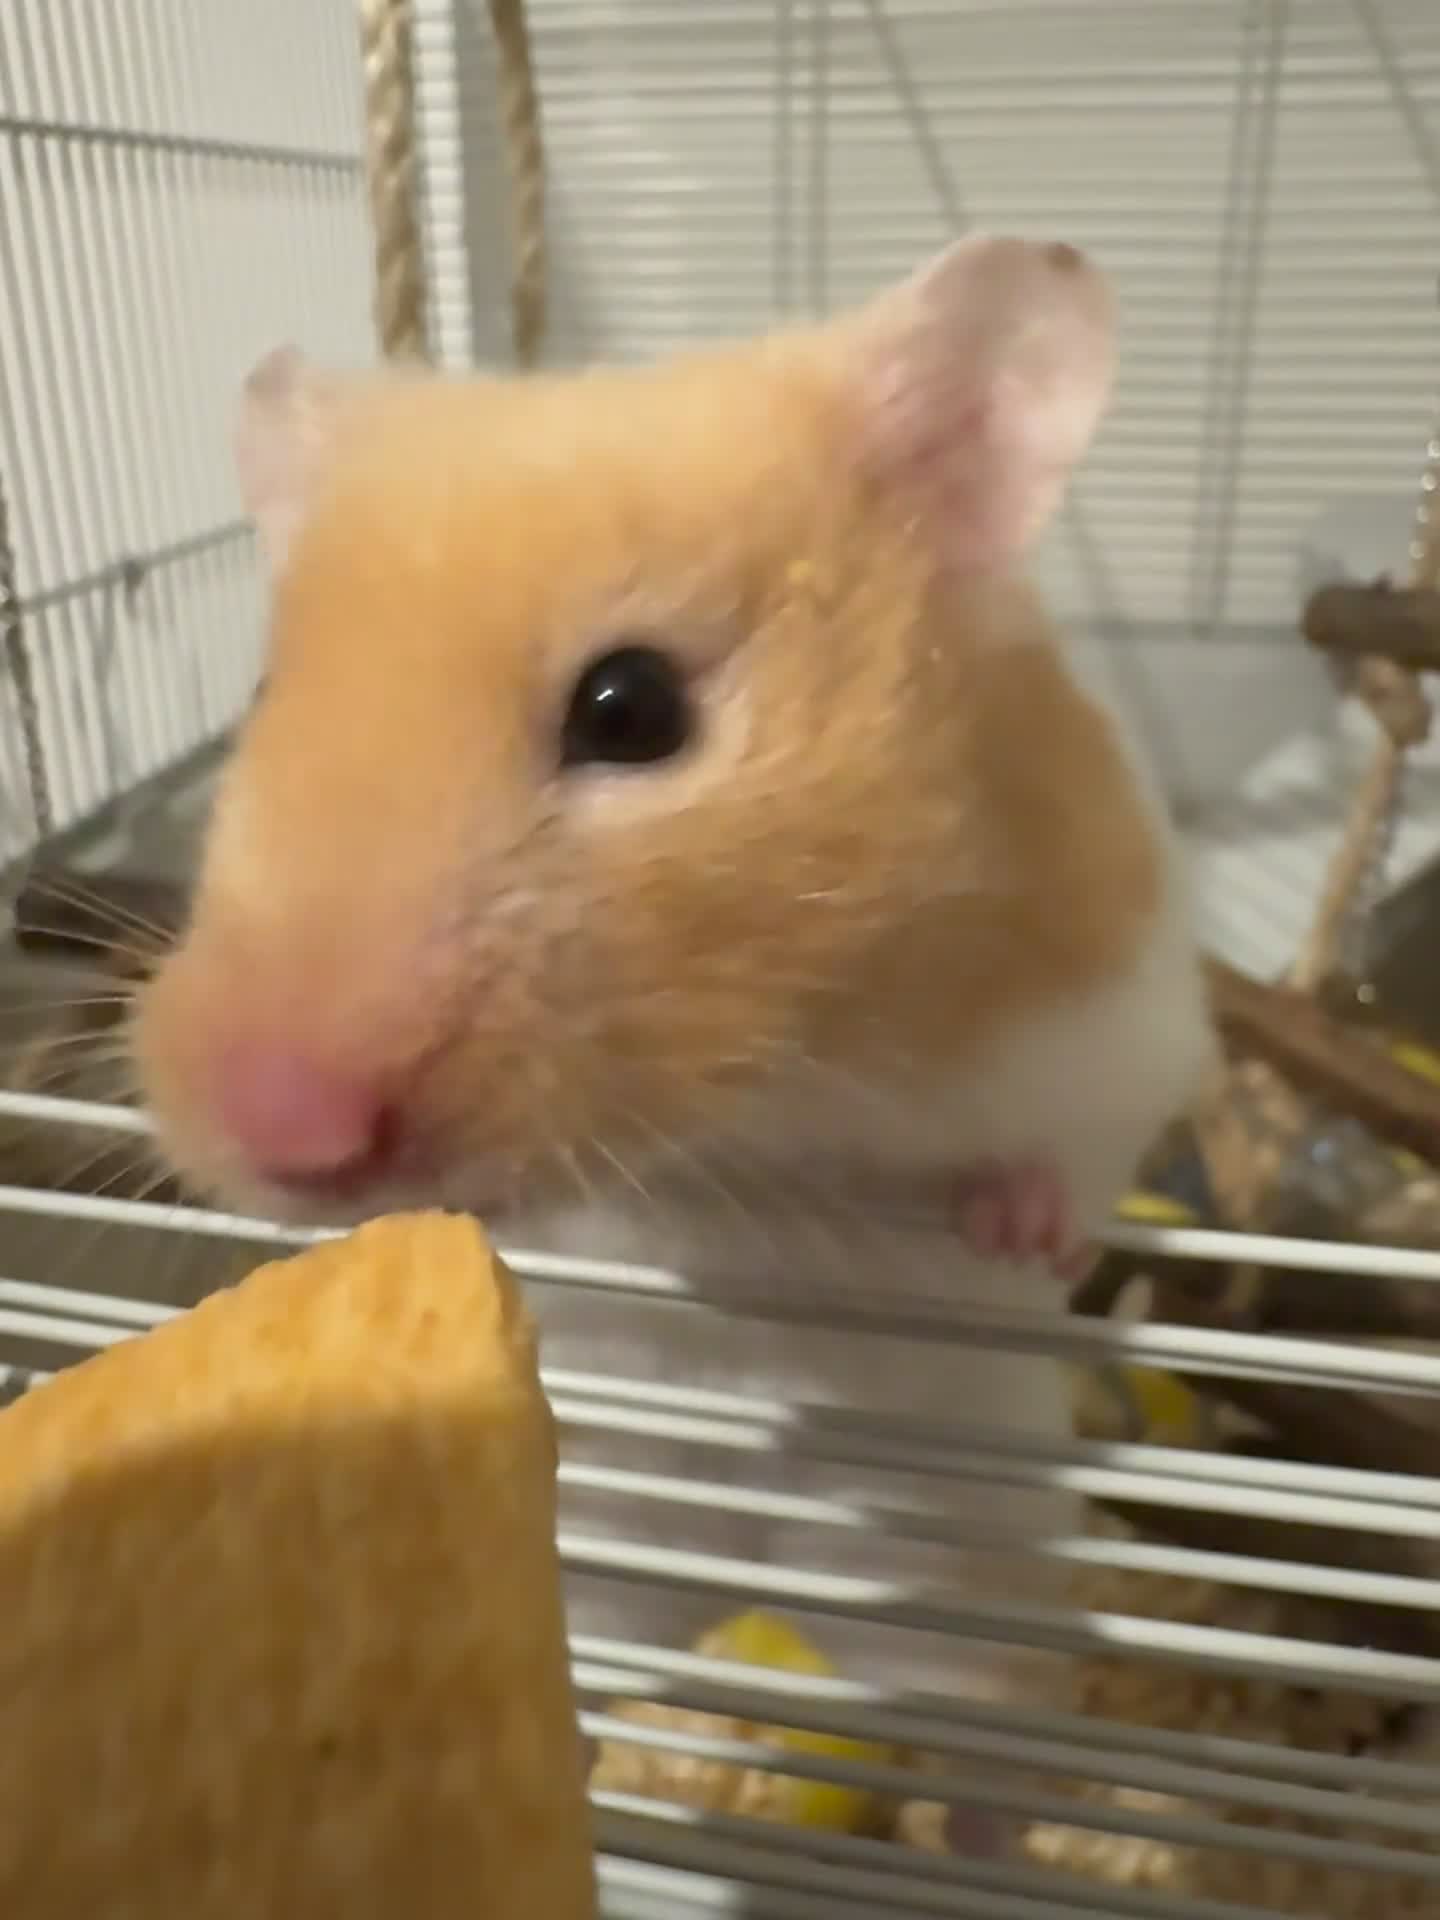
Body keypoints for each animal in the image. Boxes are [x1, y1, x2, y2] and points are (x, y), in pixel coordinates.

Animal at [135, 235, 1215, 1813]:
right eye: (266, 694)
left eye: (631, 708)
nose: (285, 1134)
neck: (750, 1105)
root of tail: (747, 1587)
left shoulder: (1131, 1002)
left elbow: (1073, 1159)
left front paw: (1013, 1227)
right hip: (592, 1573)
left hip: (968, 1592)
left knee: (988, 1765)